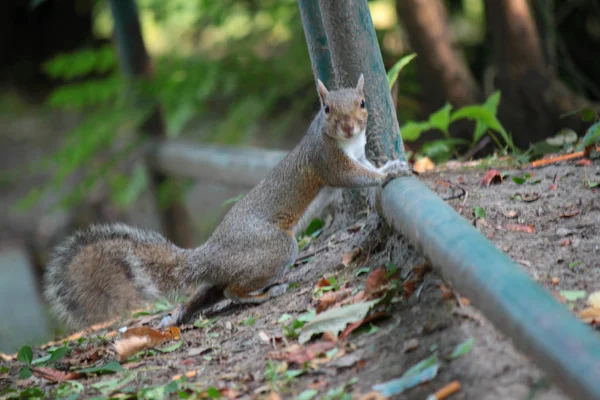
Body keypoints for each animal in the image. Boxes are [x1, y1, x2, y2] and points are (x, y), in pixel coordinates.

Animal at [42, 74, 408, 328]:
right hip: (274, 248)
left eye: (362, 103)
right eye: (327, 108)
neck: (345, 143)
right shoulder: (328, 162)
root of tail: (209, 254)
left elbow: (366, 165)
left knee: (210, 293)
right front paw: (388, 173)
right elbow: (356, 176)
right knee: (233, 291)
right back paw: (263, 294)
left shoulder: (356, 153)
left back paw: (178, 315)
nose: (348, 127)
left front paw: (386, 165)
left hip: (229, 271)